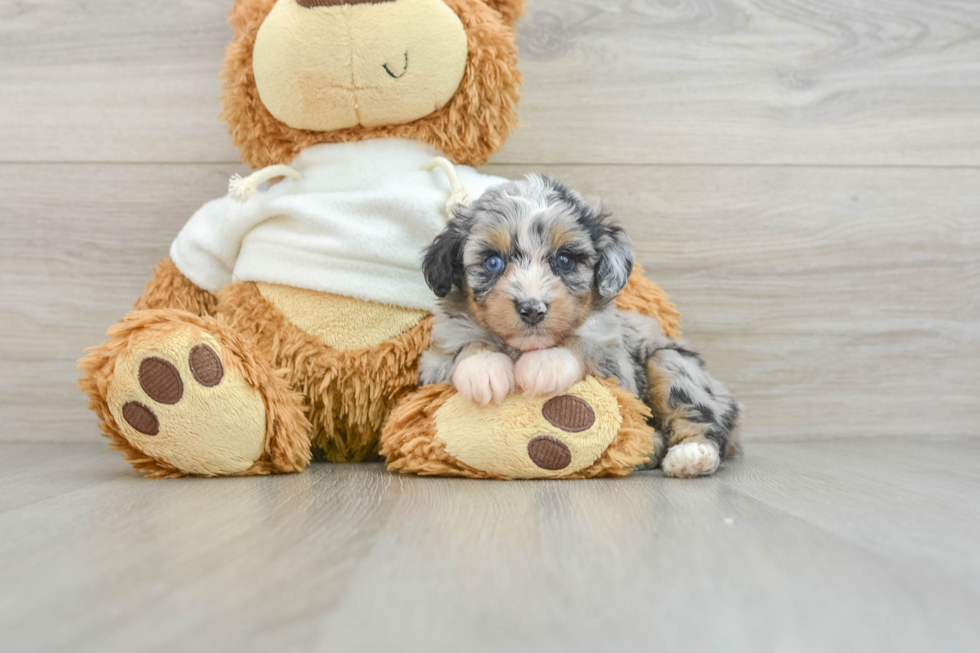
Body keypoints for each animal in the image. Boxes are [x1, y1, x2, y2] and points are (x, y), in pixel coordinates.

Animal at [418, 176, 740, 476]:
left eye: (564, 260)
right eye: (493, 262)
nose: (532, 309)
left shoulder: (619, 368)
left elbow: (583, 344)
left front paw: (545, 363)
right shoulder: (432, 369)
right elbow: (465, 347)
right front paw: (484, 367)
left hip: (671, 361)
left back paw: (691, 454)